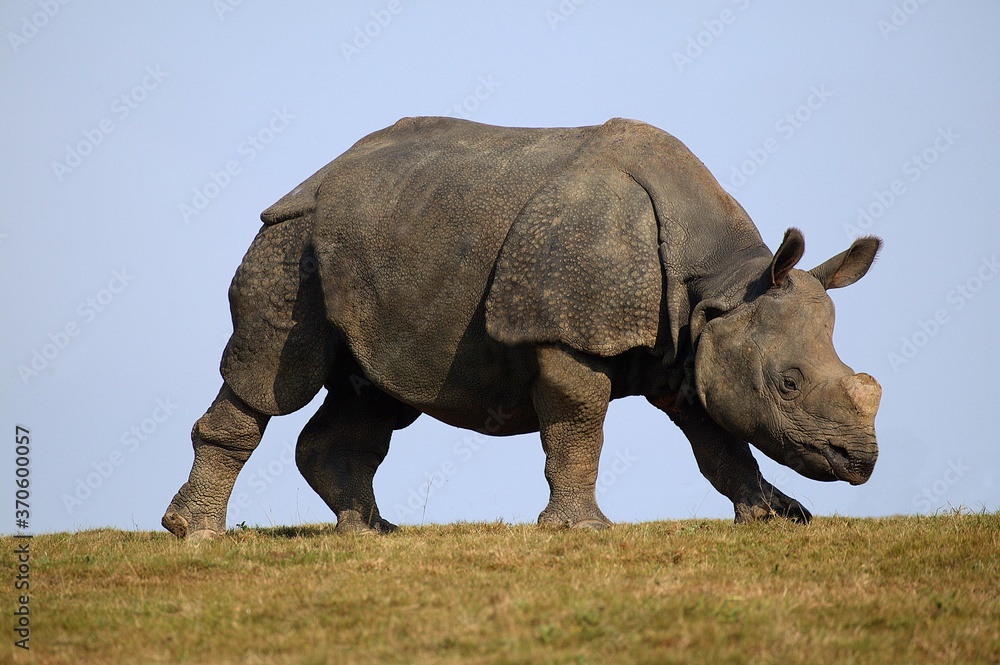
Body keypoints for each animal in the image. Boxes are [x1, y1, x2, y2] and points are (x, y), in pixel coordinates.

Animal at [162, 116, 882, 540]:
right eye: (788, 383)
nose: (861, 462)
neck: (722, 283)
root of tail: (313, 176)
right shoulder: (567, 331)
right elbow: (579, 422)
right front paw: (582, 530)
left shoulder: (689, 347)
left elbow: (719, 441)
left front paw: (778, 517)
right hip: (292, 239)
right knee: (272, 378)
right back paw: (195, 533)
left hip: (379, 240)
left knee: (376, 391)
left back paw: (371, 533)